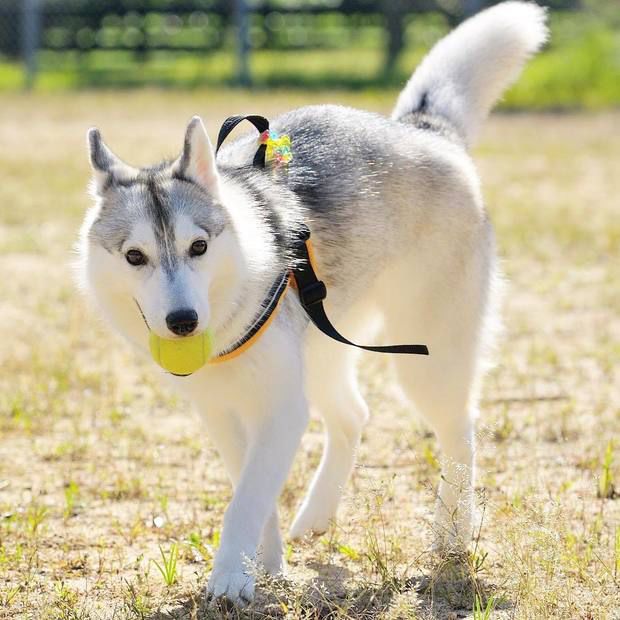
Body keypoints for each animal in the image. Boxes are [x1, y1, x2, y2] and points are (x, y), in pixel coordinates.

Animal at [77, 2, 548, 604]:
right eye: (134, 257)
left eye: (198, 246)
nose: (183, 322)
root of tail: (422, 131)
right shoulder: (222, 411)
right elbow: (251, 491)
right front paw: (266, 564)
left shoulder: (281, 408)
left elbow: (245, 501)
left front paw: (230, 577)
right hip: (324, 348)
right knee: (354, 416)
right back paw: (317, 516)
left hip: (429, 360)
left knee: (459, 431)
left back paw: (452, 533)